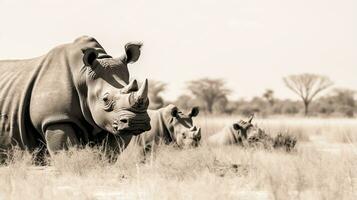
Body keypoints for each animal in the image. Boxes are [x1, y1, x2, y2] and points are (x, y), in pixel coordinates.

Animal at [0, 36, 150, 158]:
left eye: (147, 100)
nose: (138, 121)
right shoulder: (55, 118)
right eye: (105, 100)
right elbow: (68, 154)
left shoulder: (113, 121)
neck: (83, 75)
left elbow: (108, 153)